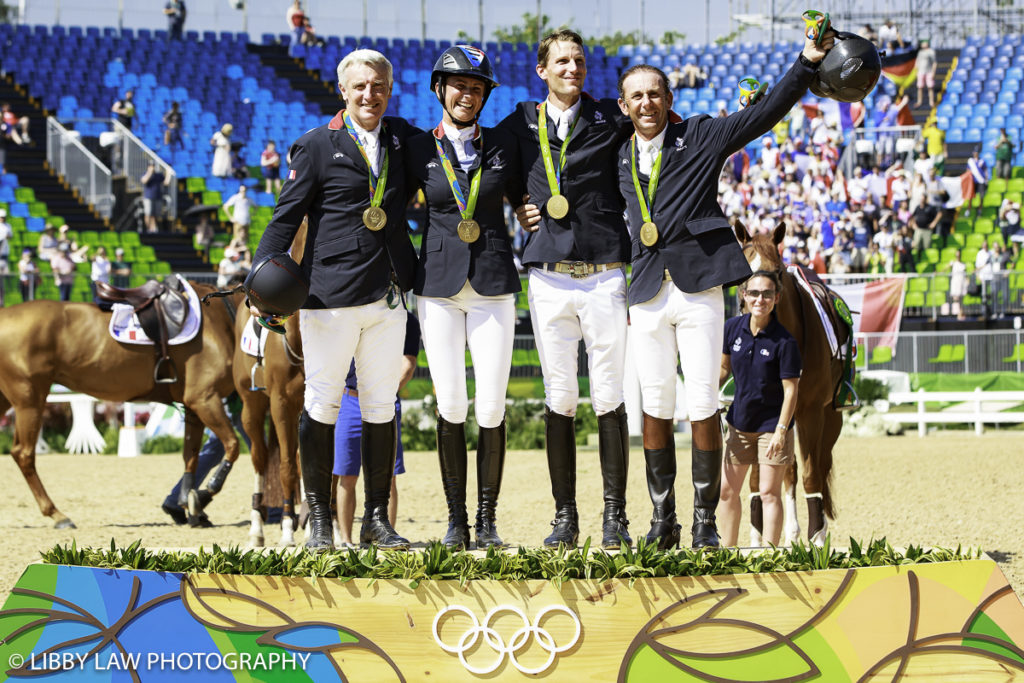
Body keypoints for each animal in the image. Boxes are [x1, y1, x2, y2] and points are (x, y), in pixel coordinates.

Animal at [0, 282, 242, 528]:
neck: (220, 317)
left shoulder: (193, 406)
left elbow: (190, 457)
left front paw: (189, 505)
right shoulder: (204, 398)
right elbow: (232, 445)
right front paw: (203, 496)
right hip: (29, 400)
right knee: (24, 454)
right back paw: (57, 514)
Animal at [741, 223, 843, 544]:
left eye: (776, 270)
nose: (755, 303)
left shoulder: (811, 412)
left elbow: (812, 475)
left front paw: (817, 538)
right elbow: (761, 477)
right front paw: (758, 539)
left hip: (831, 418)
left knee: (819, 465)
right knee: (789, 471)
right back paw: (791, 533)